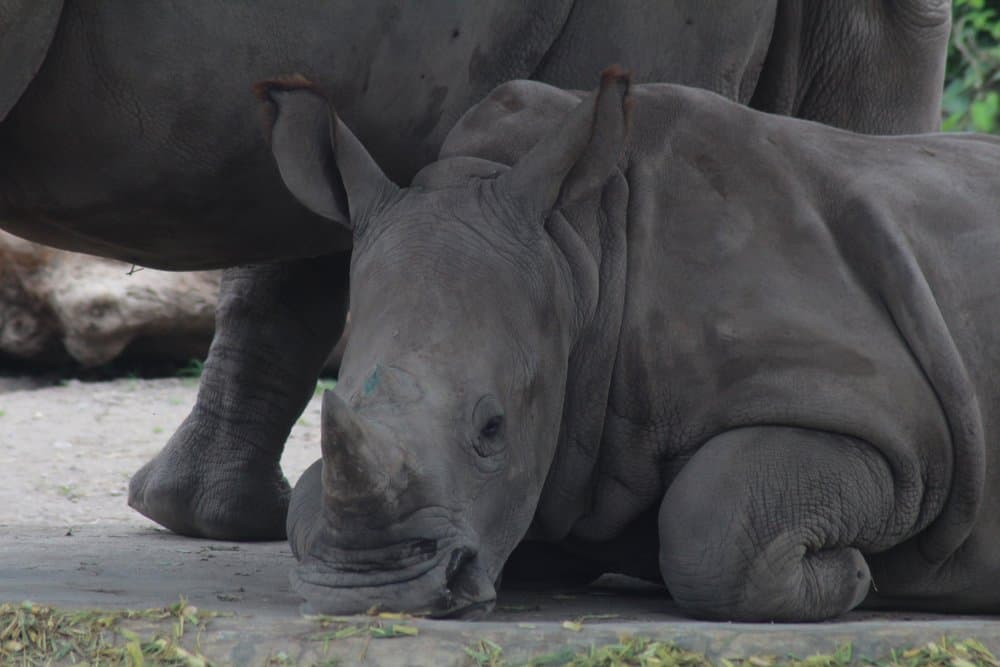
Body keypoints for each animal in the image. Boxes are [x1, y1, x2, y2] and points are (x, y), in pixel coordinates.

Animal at [254, 69, 1000, 621]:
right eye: (339, 399)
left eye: (494, 428)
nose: (372, 594)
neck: (579, 253)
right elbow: (311, 495)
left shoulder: (906, 441)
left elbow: (712, 518)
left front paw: (853, 576)